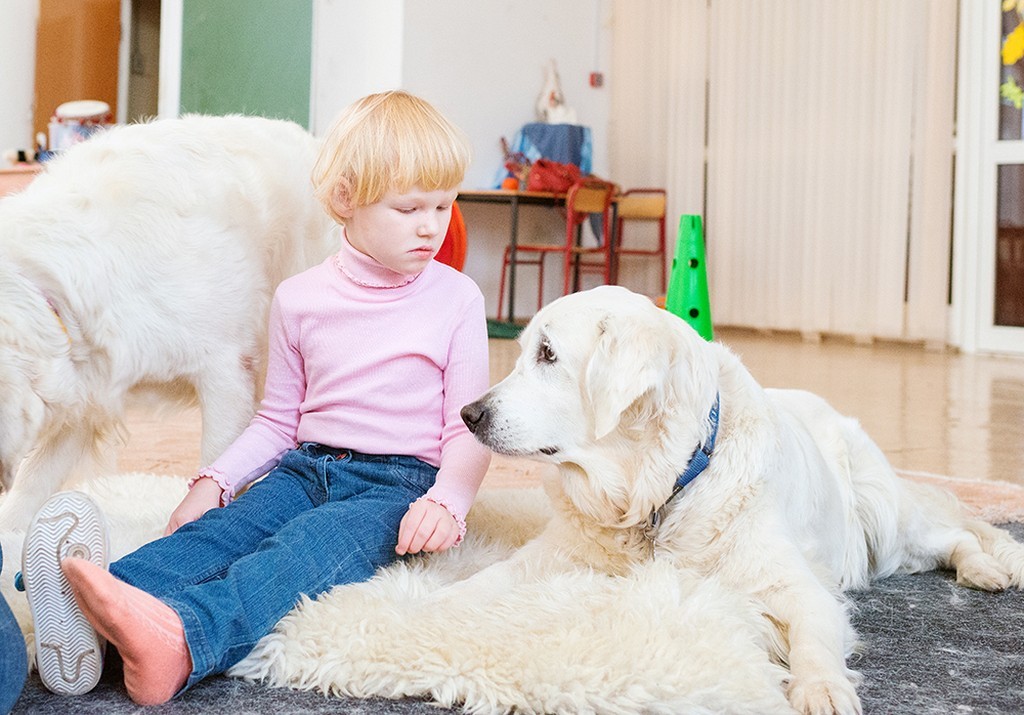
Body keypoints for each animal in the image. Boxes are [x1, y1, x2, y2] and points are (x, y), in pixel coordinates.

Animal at [460, 285, 1024, 715]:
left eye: (548, 355)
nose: (469, 414)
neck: (660, 491)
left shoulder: (798, 586)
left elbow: (814, 636)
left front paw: (822, 688)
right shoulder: (554, 555)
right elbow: (482, 583)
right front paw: (440, 602)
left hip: (883, 522)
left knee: (954, 535)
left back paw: (985, 568)